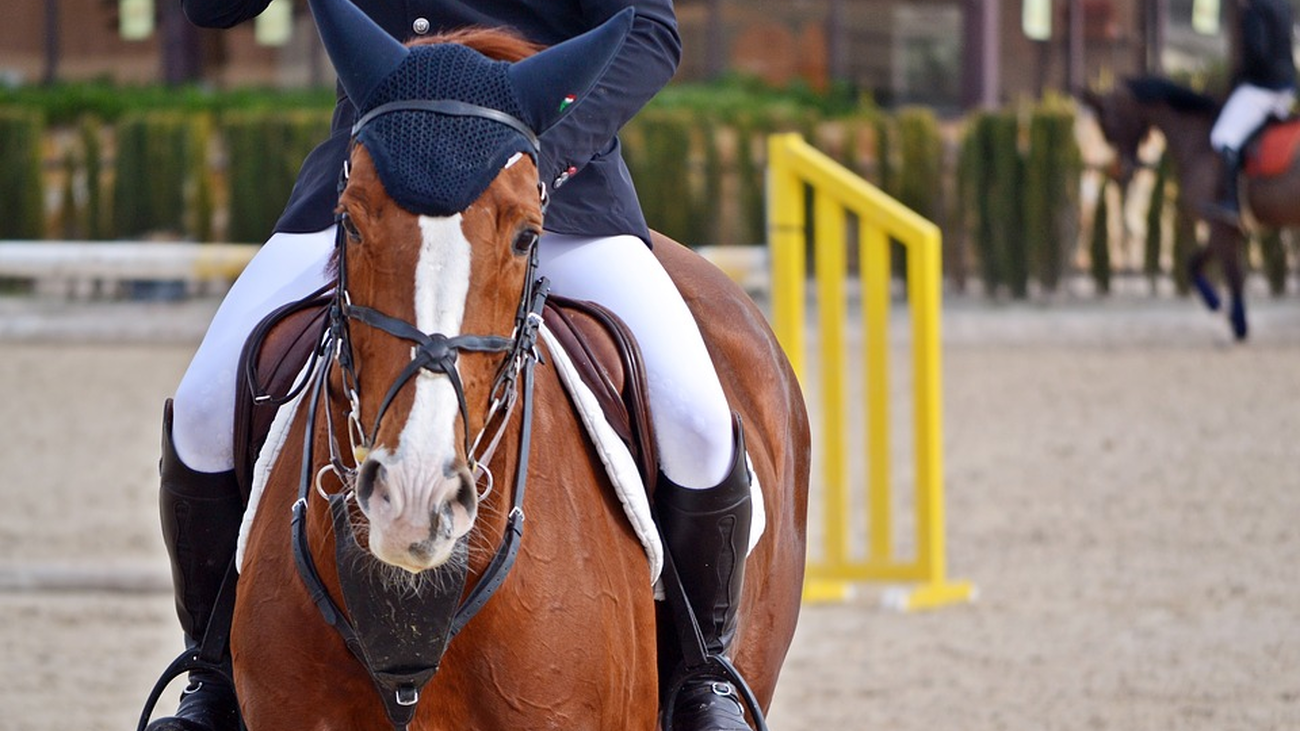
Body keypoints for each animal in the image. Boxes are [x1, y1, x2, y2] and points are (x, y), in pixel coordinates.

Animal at [1081, 76, 1300, 340]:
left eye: (1108, 126)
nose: (1118, 174)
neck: (1197, 141)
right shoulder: (1227, 228)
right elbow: (1194, 265)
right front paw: (1218, 306)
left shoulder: (1219, 225)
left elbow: (1232, 275)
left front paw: (1237, 325)